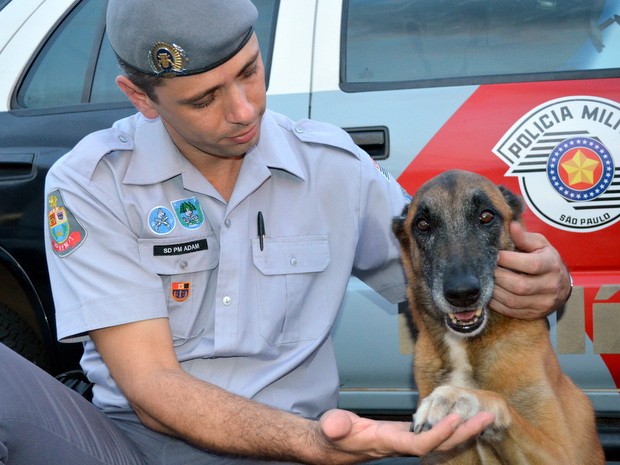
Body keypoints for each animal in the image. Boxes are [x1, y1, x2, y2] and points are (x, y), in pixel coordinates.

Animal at [394, 170, 604, 464]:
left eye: (486, 216)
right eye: (423, 225)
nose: (462, 294)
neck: (466, 346)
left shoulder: (562, 453)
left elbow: (499, 402)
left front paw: (456, 398)